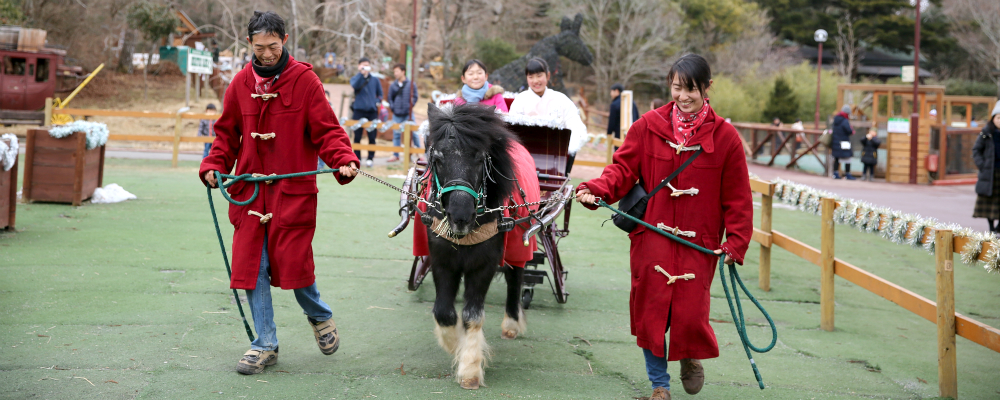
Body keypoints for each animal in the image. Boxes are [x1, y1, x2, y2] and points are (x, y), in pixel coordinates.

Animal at [424, 102, 528, 388]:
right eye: (438, 159)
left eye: (480, 159)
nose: (460, 215)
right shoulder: (441, 260)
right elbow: (444, 312)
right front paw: (454, 345)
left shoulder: (484, 265)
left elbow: (472, 315)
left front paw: (469, 366)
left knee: (515, 277)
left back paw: (511, 323)